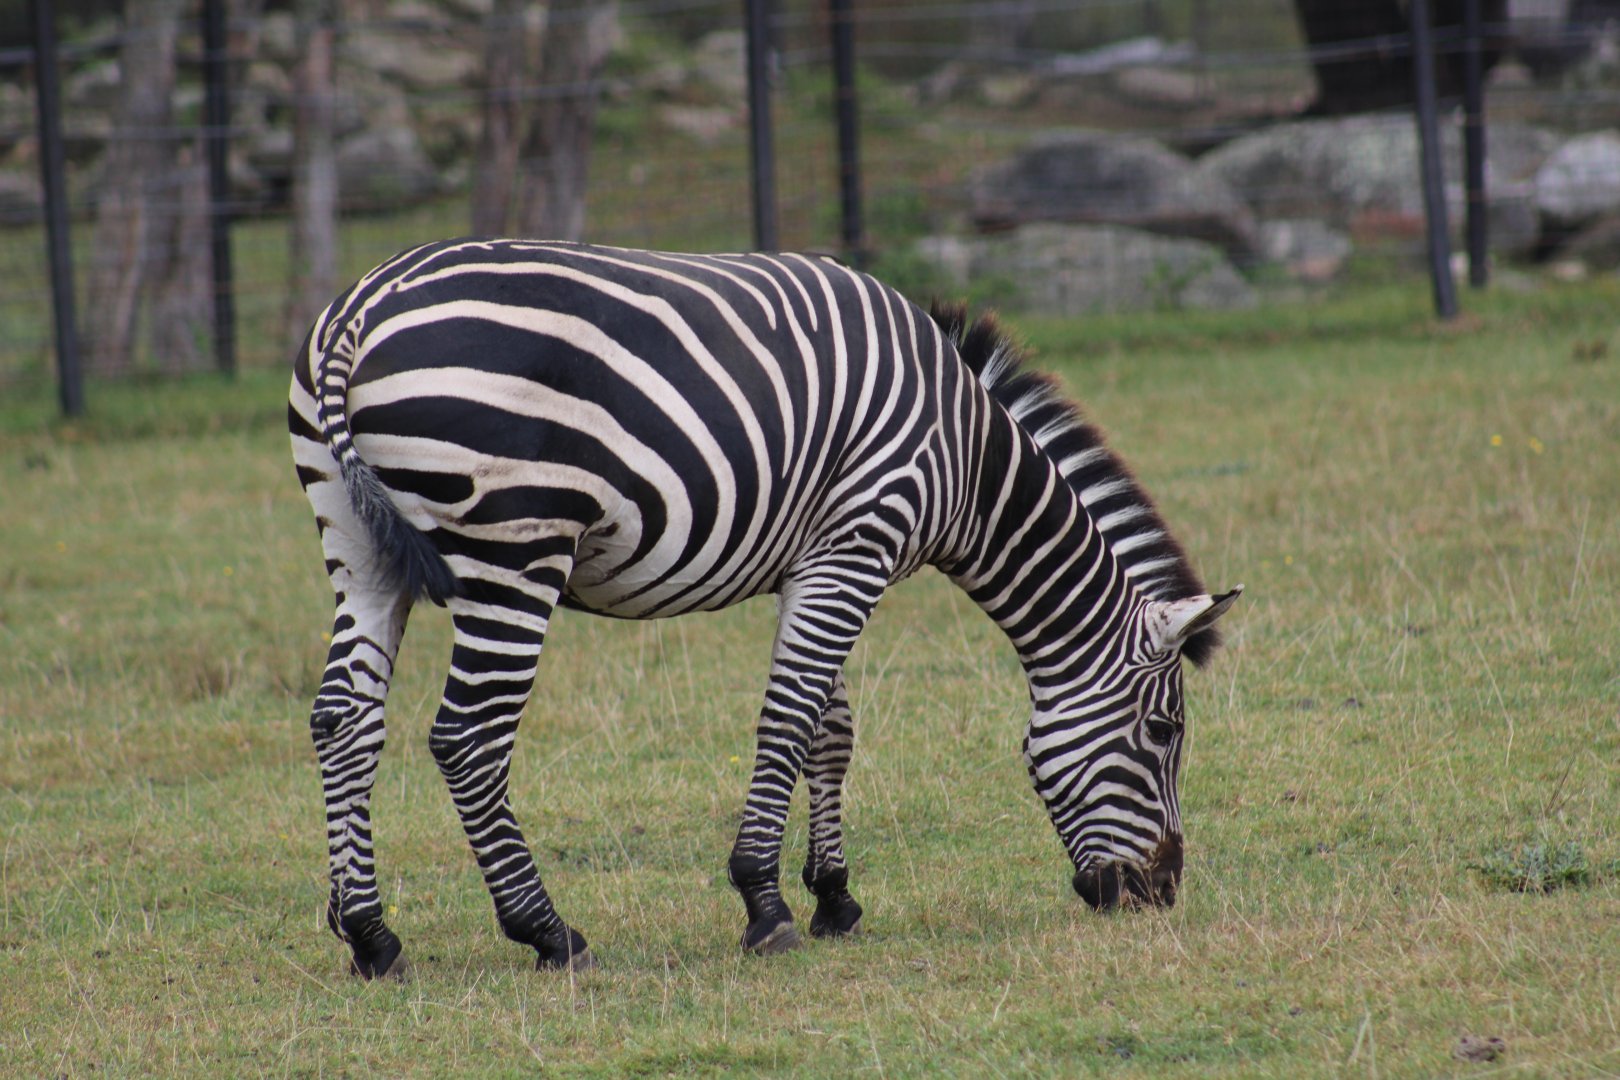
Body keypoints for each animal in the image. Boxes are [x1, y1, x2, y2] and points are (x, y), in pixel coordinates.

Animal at [288, 238, 1241, 979]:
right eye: (1165, 732)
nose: (1159, 894)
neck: (969, 460)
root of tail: (360, 310)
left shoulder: (816, 560)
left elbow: (830, 727)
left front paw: (835, 896)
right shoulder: (859, 543)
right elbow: (789, 718)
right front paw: (765, 903)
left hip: (361, 545)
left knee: (343, 721)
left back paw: (370, 937)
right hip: (517, 547)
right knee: (467, 738)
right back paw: (549, 933)